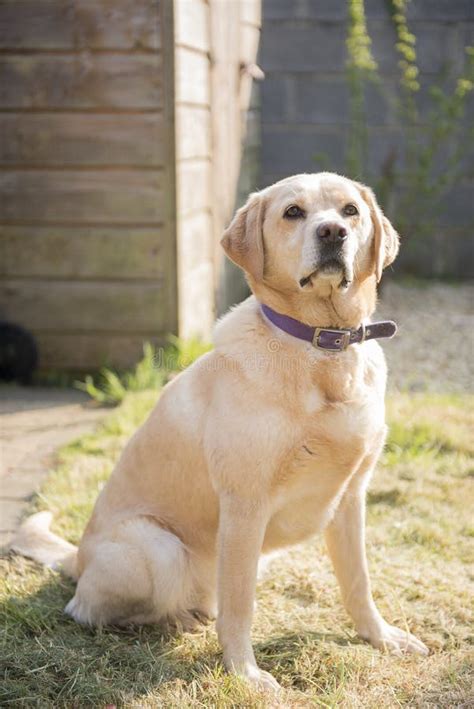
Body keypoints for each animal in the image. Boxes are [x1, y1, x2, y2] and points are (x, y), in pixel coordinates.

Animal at [12, 173, 428, 692]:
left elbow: (359, 582)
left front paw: (381, 637)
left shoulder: (352, 498)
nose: (333, 232)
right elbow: (240, 604)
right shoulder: (245, 505)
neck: (323, 348)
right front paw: (244, 672)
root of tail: (79, 559)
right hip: (158, 548)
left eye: (350, 211)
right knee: (88, 608)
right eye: (293, 212)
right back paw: (175, 618)